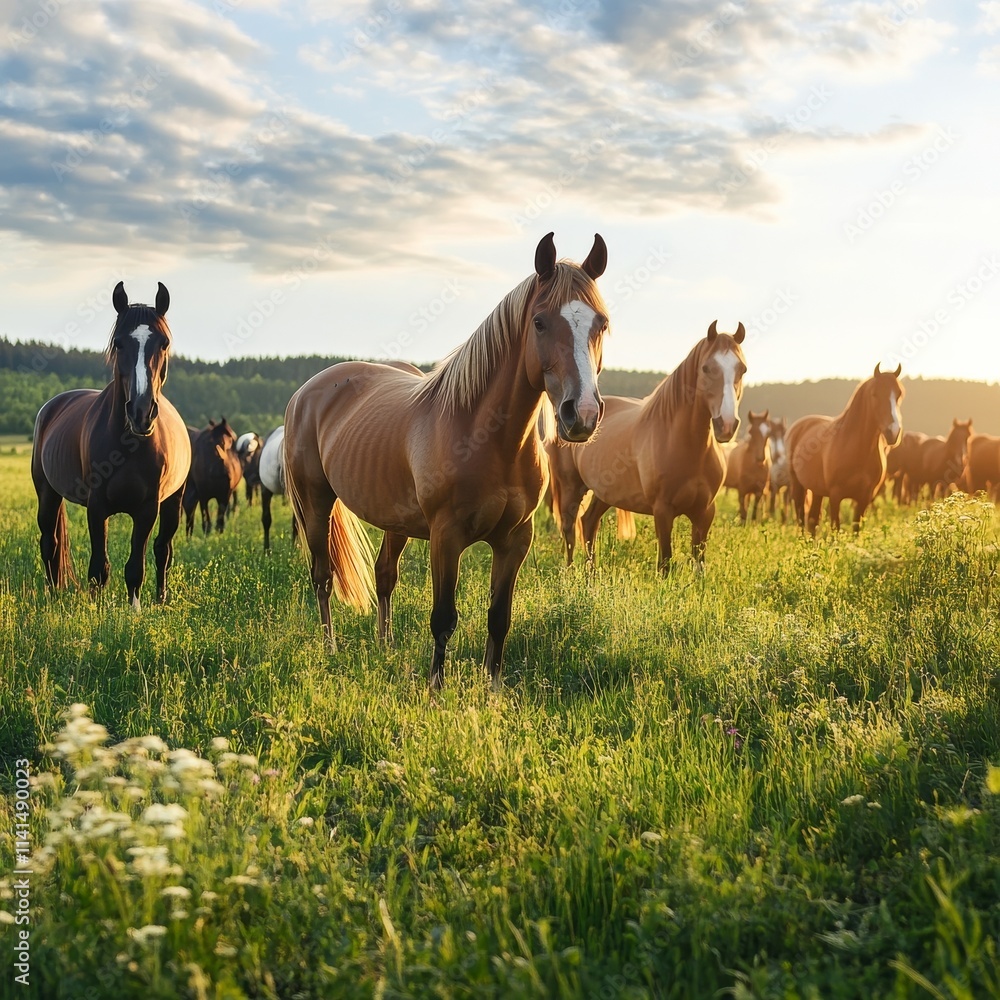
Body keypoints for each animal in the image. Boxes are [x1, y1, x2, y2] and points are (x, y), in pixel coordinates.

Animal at [30, 282, 190, 609]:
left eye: (164, 343)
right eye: (118, 343)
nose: (141, 412)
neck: (127, 445)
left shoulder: (147, 509)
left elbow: (136, 566)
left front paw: (135, 609)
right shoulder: (97, 506)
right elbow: (98, 567)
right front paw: (96, 607)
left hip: (174, 501)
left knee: (163, 550)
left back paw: (161, 599)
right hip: (47, 492)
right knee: (49, 542)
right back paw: (53, 595)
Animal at [284, 232, 609, 687]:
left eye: (602, 323)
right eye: (540, 322)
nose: (582, 413)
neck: (488, 438)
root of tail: (307, 392)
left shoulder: (515, 541)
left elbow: (499, 618)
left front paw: (492, 691)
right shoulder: (445, 537)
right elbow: (443, 619)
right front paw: (435, 691)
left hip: (395, 520)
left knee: (385, 576)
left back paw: (385, 647)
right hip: (315, 506)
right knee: (322, 578)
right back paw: (330, 647)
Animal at [545, 320, 747, 573]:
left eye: (742, 369)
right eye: (707, 368)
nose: (727, 425)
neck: (686, 446)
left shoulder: (705, 512)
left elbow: (699, 564)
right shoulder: (663, 512)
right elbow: (665, 563)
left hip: (604, 493)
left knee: (589, 522)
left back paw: (591, 574)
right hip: (571, 487)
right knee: (570, 529)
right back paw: (571, 572)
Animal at [786, 363, 903, 534]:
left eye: (899, 395)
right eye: (874, 394)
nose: (893, 432)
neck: (857, 450)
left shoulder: (864, 498)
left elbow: (856, 529)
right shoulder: (835, 496)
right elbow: (836, 528)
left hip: (817, 491)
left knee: (813, 521)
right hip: (798, 487)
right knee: (801, 519)